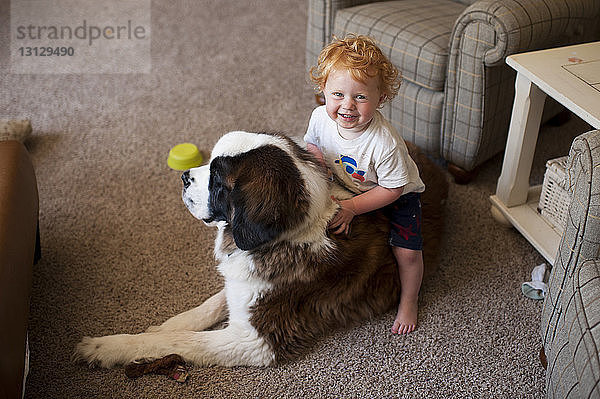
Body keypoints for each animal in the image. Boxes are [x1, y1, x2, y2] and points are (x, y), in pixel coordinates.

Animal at [75, 130, 446, 368]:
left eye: (217, 181)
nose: (183, 177)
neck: (285, 237)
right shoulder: (243, 280)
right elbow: (212, 304)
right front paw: (170, 323)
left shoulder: (257, 342)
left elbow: (182, 342)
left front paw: (108, 346)